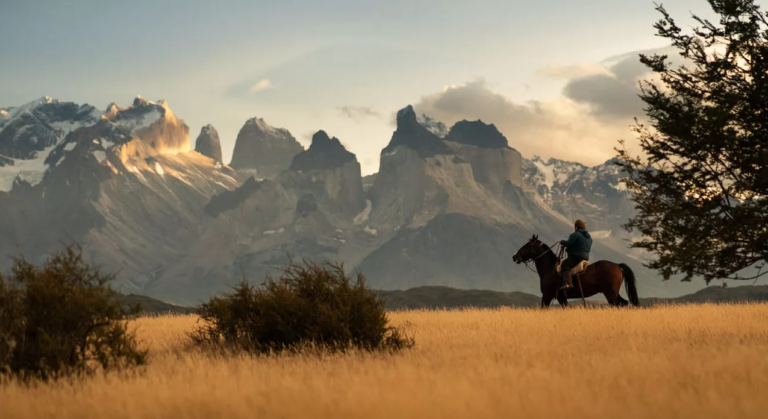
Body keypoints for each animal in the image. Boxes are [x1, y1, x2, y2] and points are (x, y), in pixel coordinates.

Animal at [512, 234, 640, 308]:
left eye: (527, 246)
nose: (514, 256)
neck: (550, 270)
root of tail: (617, 265)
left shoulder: (547, 296)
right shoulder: (561, 298)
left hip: (610, 293)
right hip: (614, 293)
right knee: (623, 303)